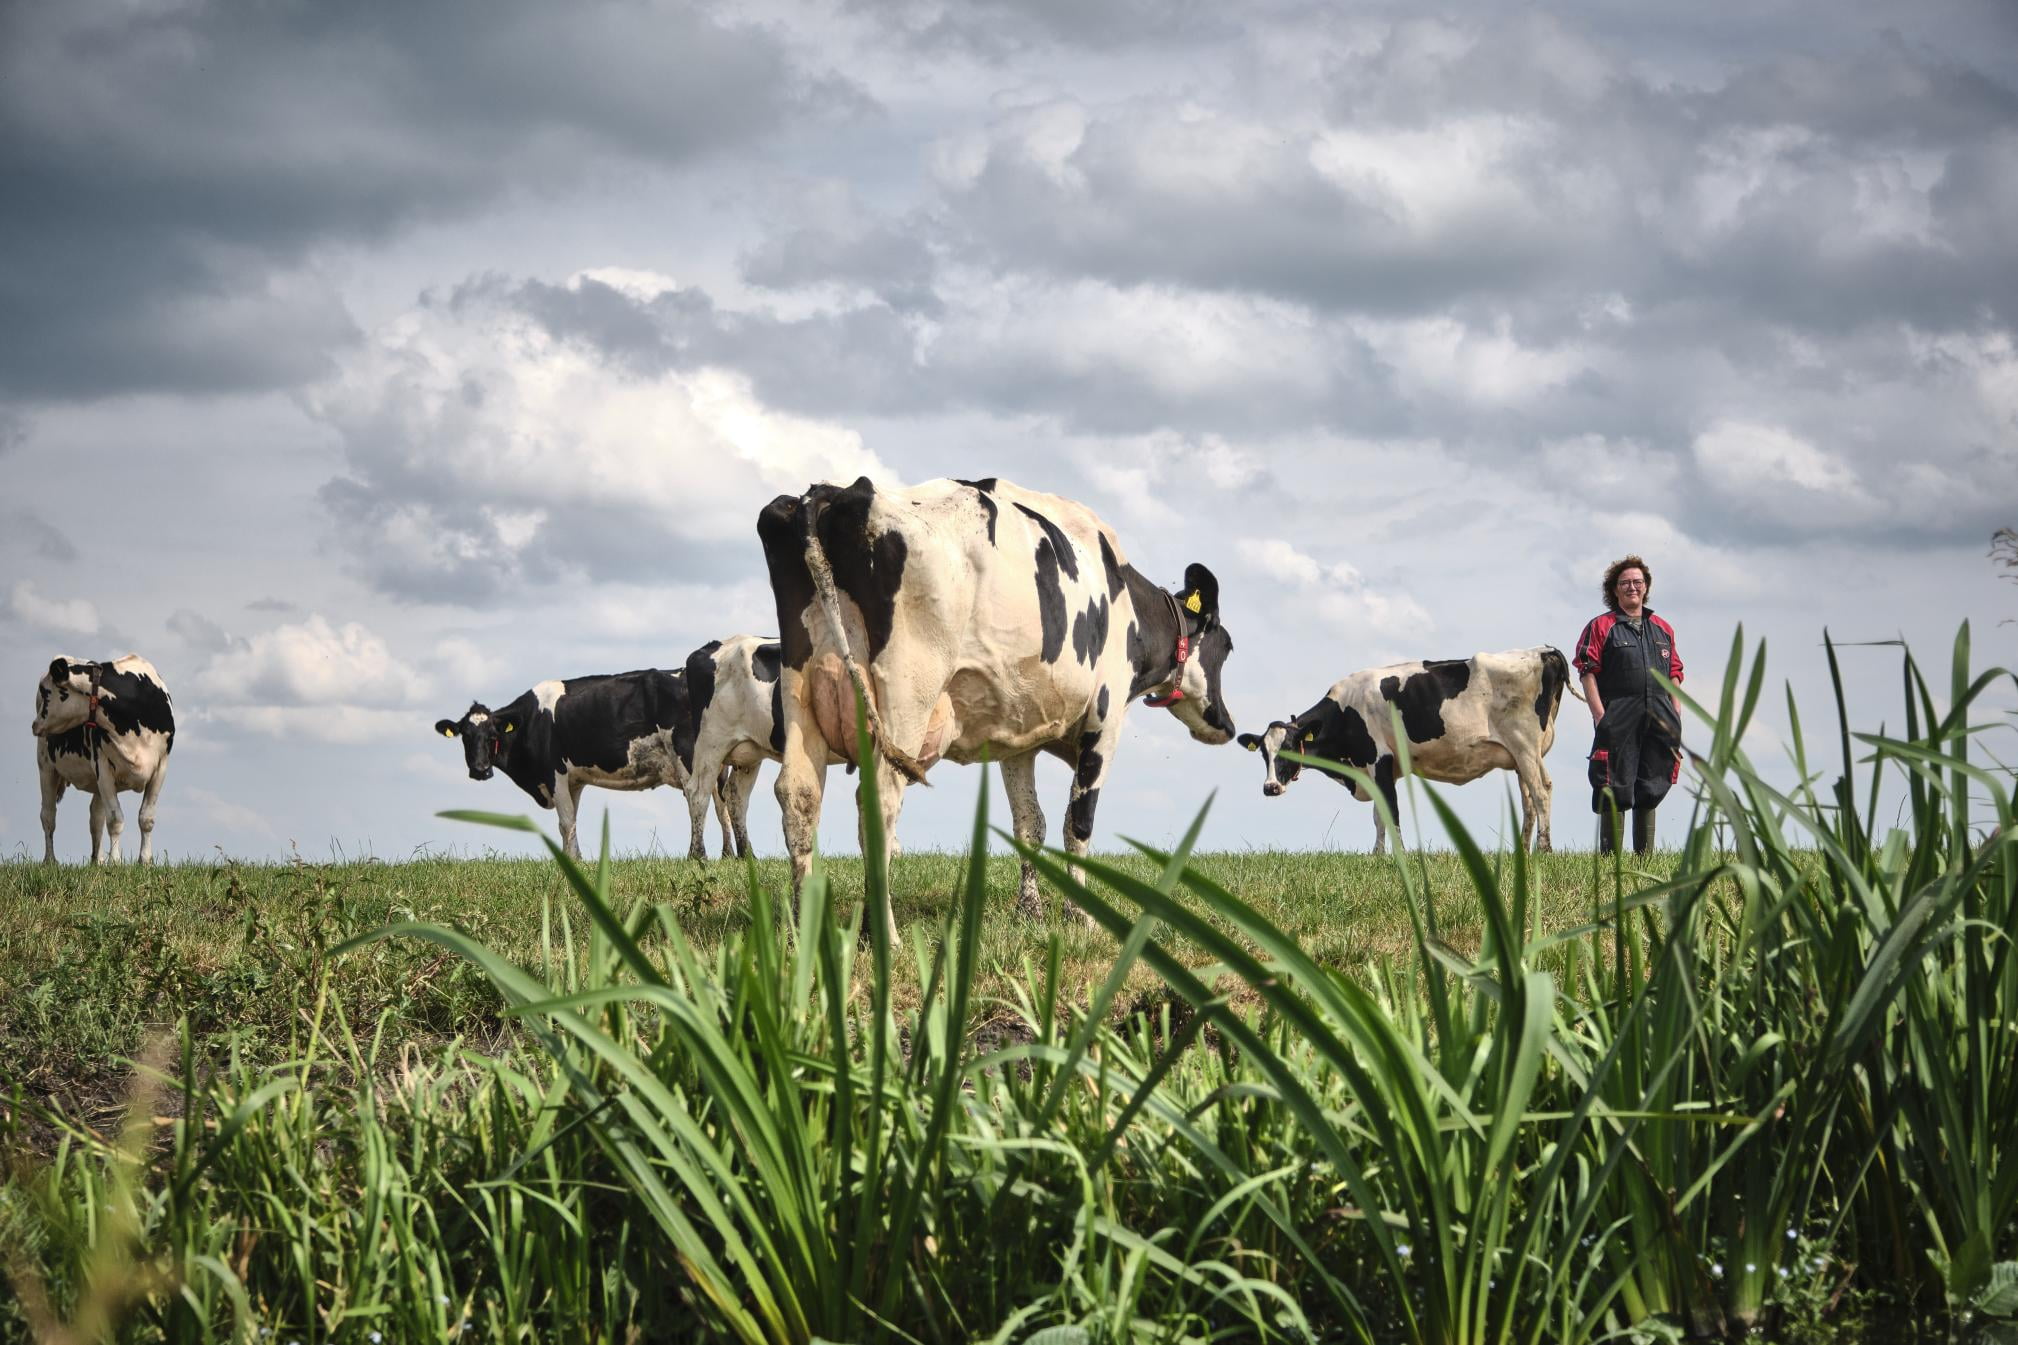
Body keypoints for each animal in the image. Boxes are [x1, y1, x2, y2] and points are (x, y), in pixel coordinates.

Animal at [31, 657, 177, 867]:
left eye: (45, 690)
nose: (34, 724)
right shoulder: (103, 767)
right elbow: (115, 819)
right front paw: (115, 862)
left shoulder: (160, 766)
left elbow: (146, 818)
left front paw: (145, 861)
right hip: (45, 765)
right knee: (48, 815)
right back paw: (50, 860)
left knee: (95, 817)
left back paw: (96, 861)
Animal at [431, 669, 734, 863]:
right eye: (465, 736)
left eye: (492, 735)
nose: (480, 769)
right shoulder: (573, 781)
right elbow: (572, 821)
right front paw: (573, 859)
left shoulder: (555, 774)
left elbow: (565, 822)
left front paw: (571, 862)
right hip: (715, 760)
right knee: (722, 805)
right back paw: (729, 855)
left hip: (688, 755)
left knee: (698, 799)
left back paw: (696, 855)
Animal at [754, 473, 1226, 927]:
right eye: (1226, 647)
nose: (1226, 725)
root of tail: (835, 492)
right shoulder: (1104, 719)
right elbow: (1078, 823)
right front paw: (1081, 916)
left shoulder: (1020, 736)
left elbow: (1030, 824)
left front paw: (1029, 912)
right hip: (908, 693)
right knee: (880, 801)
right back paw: (883, 931)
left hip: (801, 691)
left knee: (799, 795)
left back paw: (804, 927)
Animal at [1226, 649, 1574, 850]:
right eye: (1264, 754)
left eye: (1287, 749)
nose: (1270, 787)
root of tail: (1543, 651)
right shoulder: (1377, 770)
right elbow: (1378, 817)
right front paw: (1377, 857)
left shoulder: (1379, 760)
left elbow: (1391, 813)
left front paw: (1398, 858)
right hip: (1520, 755)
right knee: (1529, 801)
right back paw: (1523, 853)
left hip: (1524, 743)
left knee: (1541, 792)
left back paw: (1544, 851)